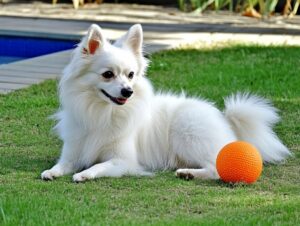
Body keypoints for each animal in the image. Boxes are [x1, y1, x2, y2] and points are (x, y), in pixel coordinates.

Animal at [41, 23, 290, 182]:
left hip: (188, 134)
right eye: (107, 75)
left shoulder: (124, 161)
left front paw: (84, 174)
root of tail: (225, 118)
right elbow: (62, 164)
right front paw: (52, 172)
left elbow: (99, 165)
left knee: (217, 168)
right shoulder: (72, 152)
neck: (102, 112)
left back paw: (189, 173)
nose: (128, 91)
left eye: (131, 75)